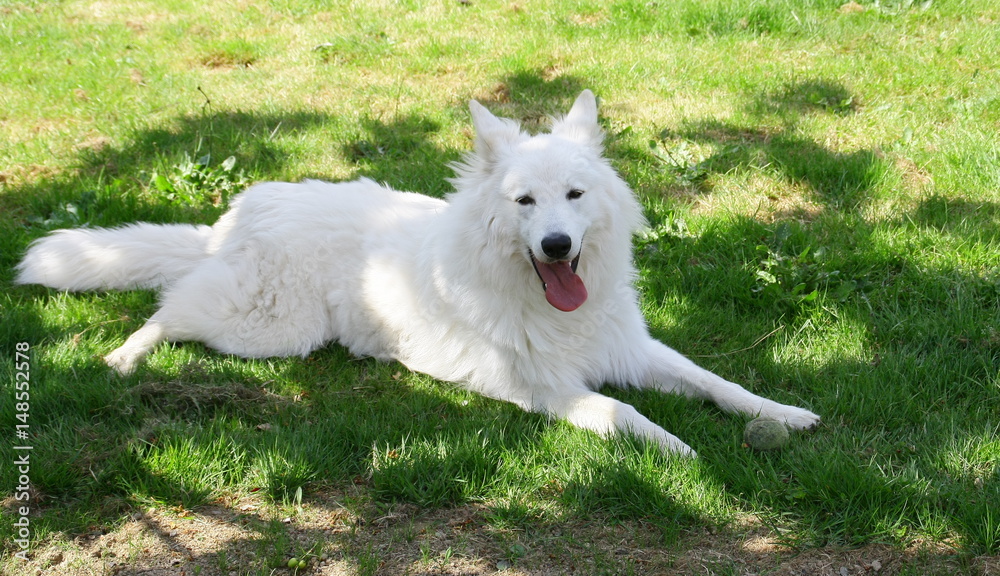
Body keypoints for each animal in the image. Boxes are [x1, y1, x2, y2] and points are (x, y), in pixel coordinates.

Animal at [15, 92, 816, 456]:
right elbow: (627, 414)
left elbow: (716, 382)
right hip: (267, 329)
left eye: (574, 196)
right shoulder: (549, 390)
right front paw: (681, 450)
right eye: (524, 203)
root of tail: (237, 214)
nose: (558, 246)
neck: (547, 304)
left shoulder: (634, 349)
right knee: (167, 307)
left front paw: (781, 413)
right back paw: (123, 357)